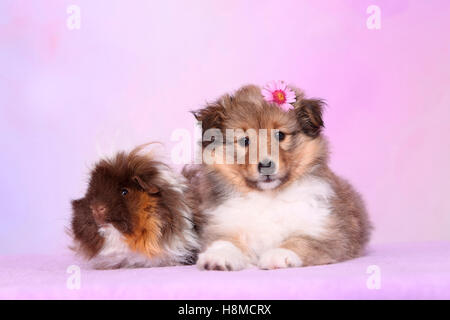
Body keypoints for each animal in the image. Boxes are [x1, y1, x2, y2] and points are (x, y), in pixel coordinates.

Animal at [184, 82, 372, 270]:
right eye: (245, 141)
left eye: (280, 135)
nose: (266, 165)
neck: (268, 197)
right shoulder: (222, 225)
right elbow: (225, 241)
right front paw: (218, 256)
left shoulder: (327, 231)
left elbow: (301, 241)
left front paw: (279, 255)